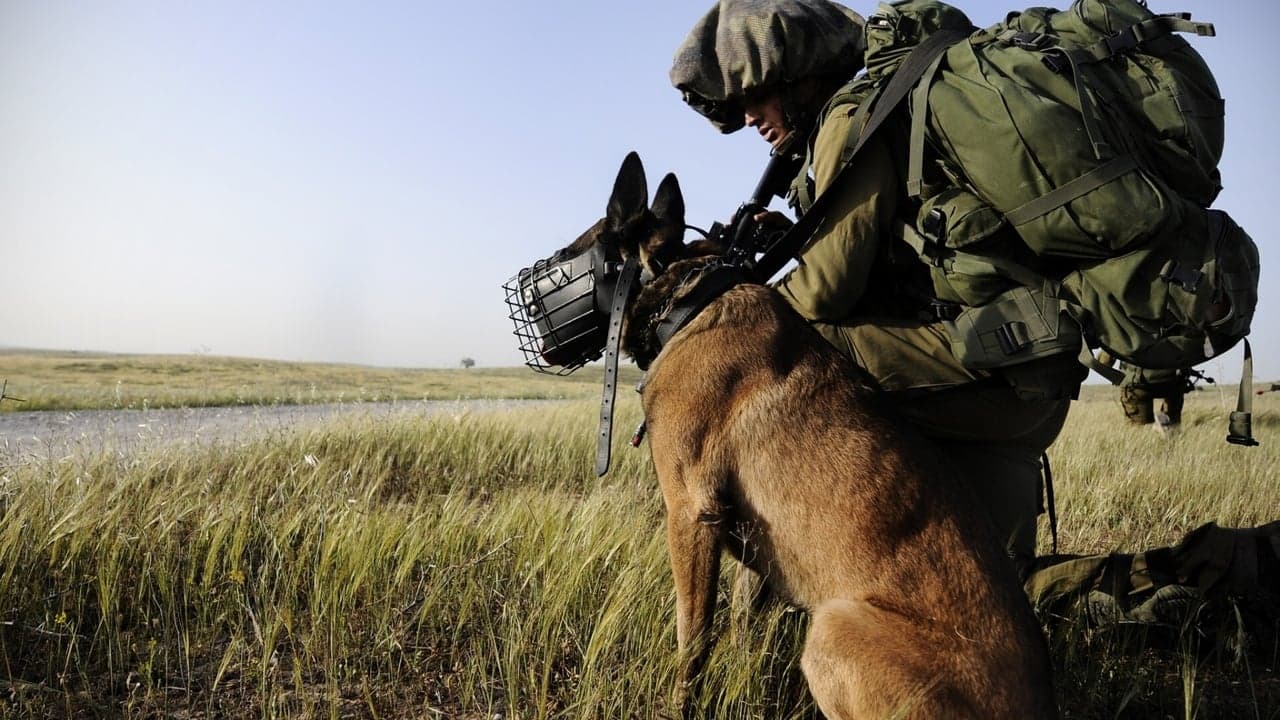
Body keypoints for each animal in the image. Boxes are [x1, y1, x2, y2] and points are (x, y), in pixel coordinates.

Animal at [563, 154, 1059, 712]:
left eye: (568, 254)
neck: (689, 296)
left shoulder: (692, 512)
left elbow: (692, 641)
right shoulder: (751, 543)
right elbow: (741, 627)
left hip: (832, 629)